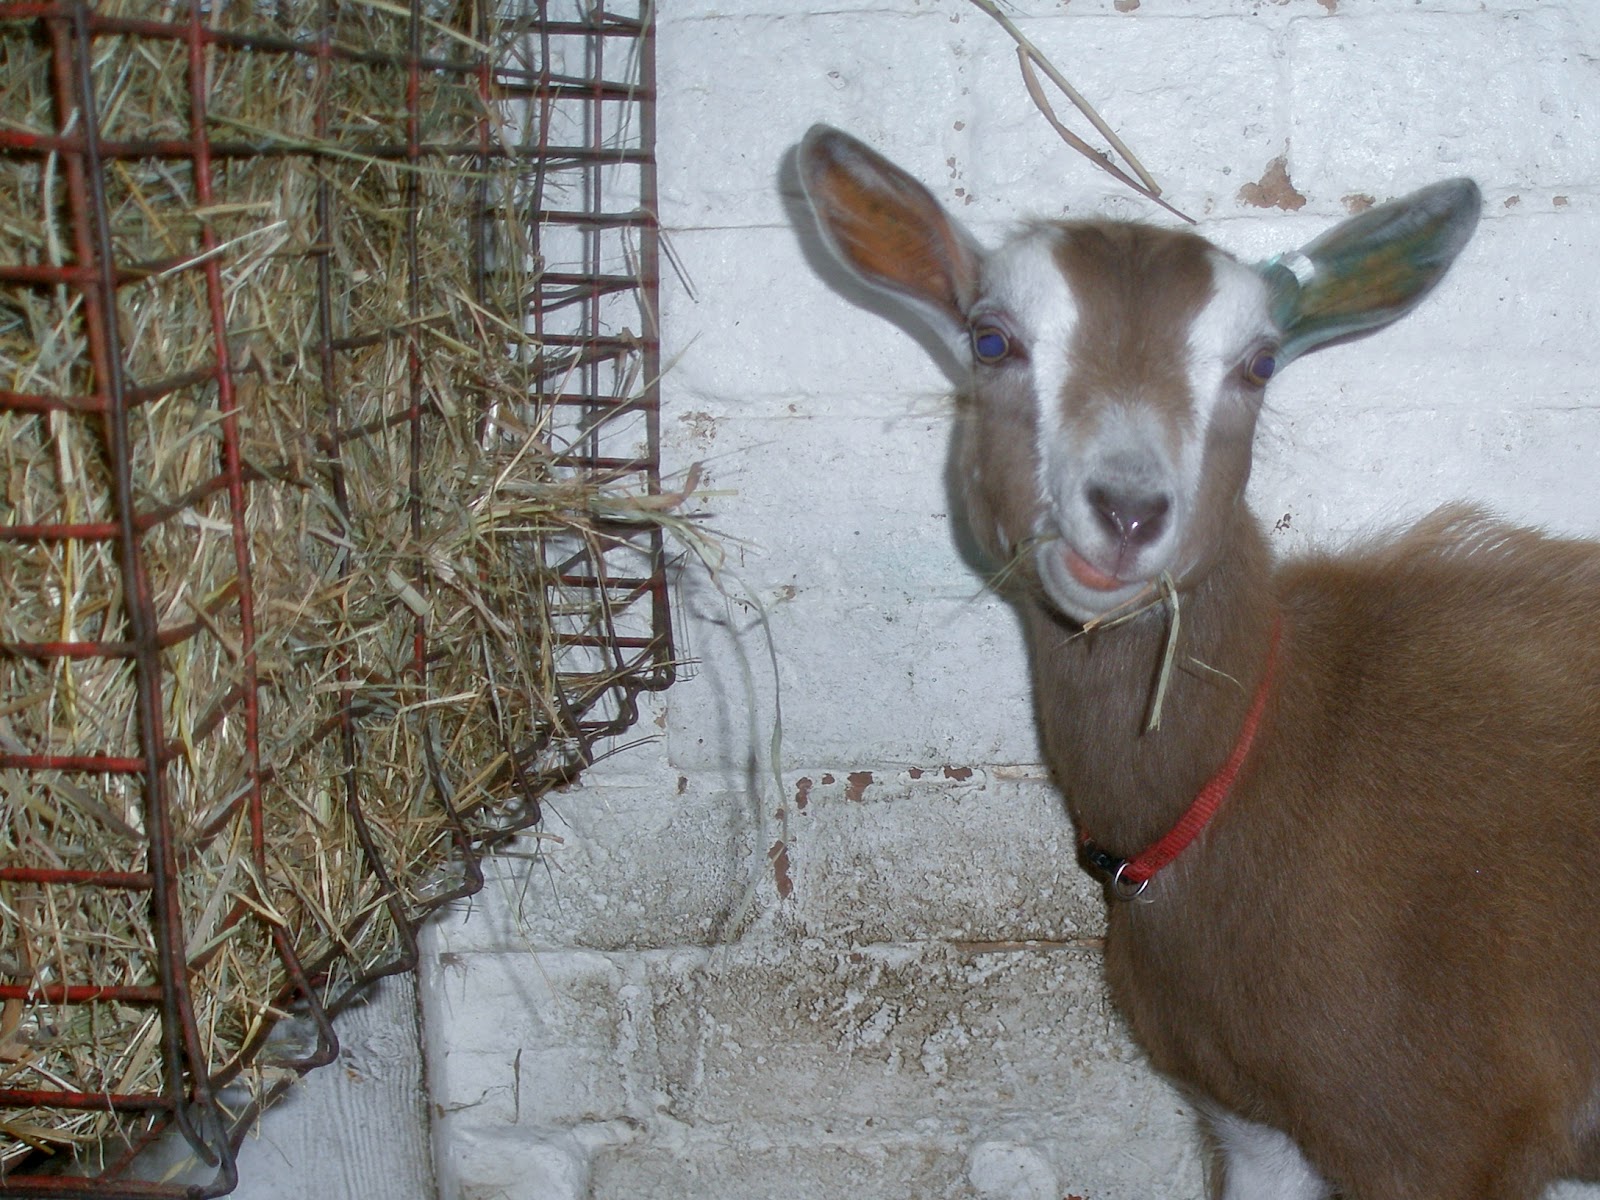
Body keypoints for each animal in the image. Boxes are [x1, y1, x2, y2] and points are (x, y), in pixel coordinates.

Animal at [797, 124, 1600, 1200]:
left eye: (1258, 364)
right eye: (991, 340)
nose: (1128, 512)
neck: (1262, 757)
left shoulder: (1438, 1138)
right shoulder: (1250, 1119)